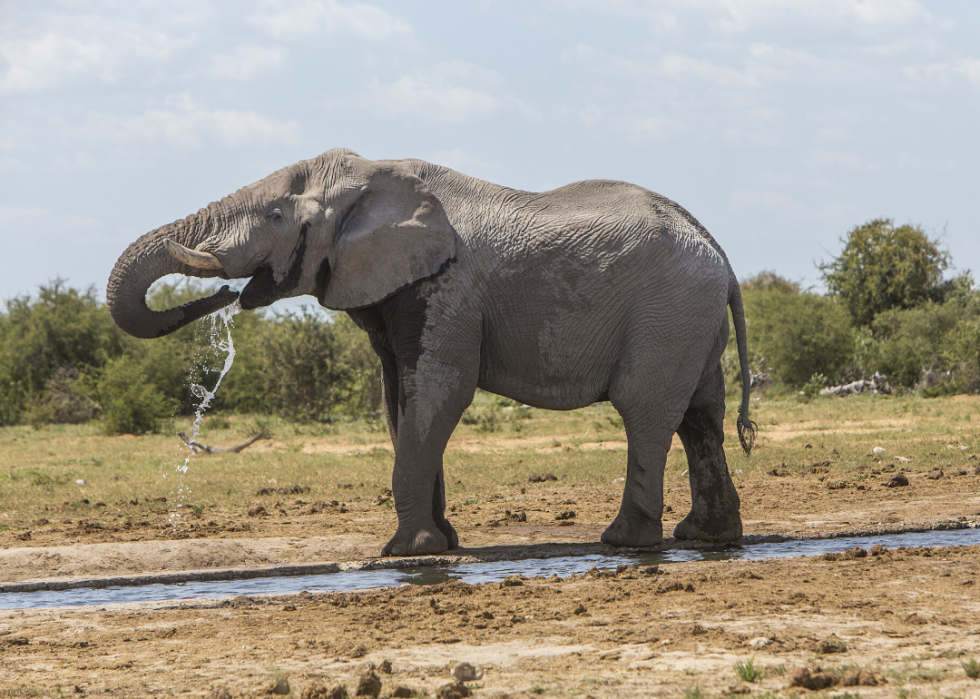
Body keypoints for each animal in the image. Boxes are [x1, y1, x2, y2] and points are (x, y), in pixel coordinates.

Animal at [111, 149, 760, 556]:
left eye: (275, 215)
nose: (227, 293)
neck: (375, 174)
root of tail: (721, 255)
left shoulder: (448, 288)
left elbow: (440, 393)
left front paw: (405, 552)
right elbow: (398, 400)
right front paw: (438, 544)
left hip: (666, 315)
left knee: (644, 411)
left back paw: (625, 542)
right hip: (689, 321)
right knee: (700, 415)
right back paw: (706, 539)